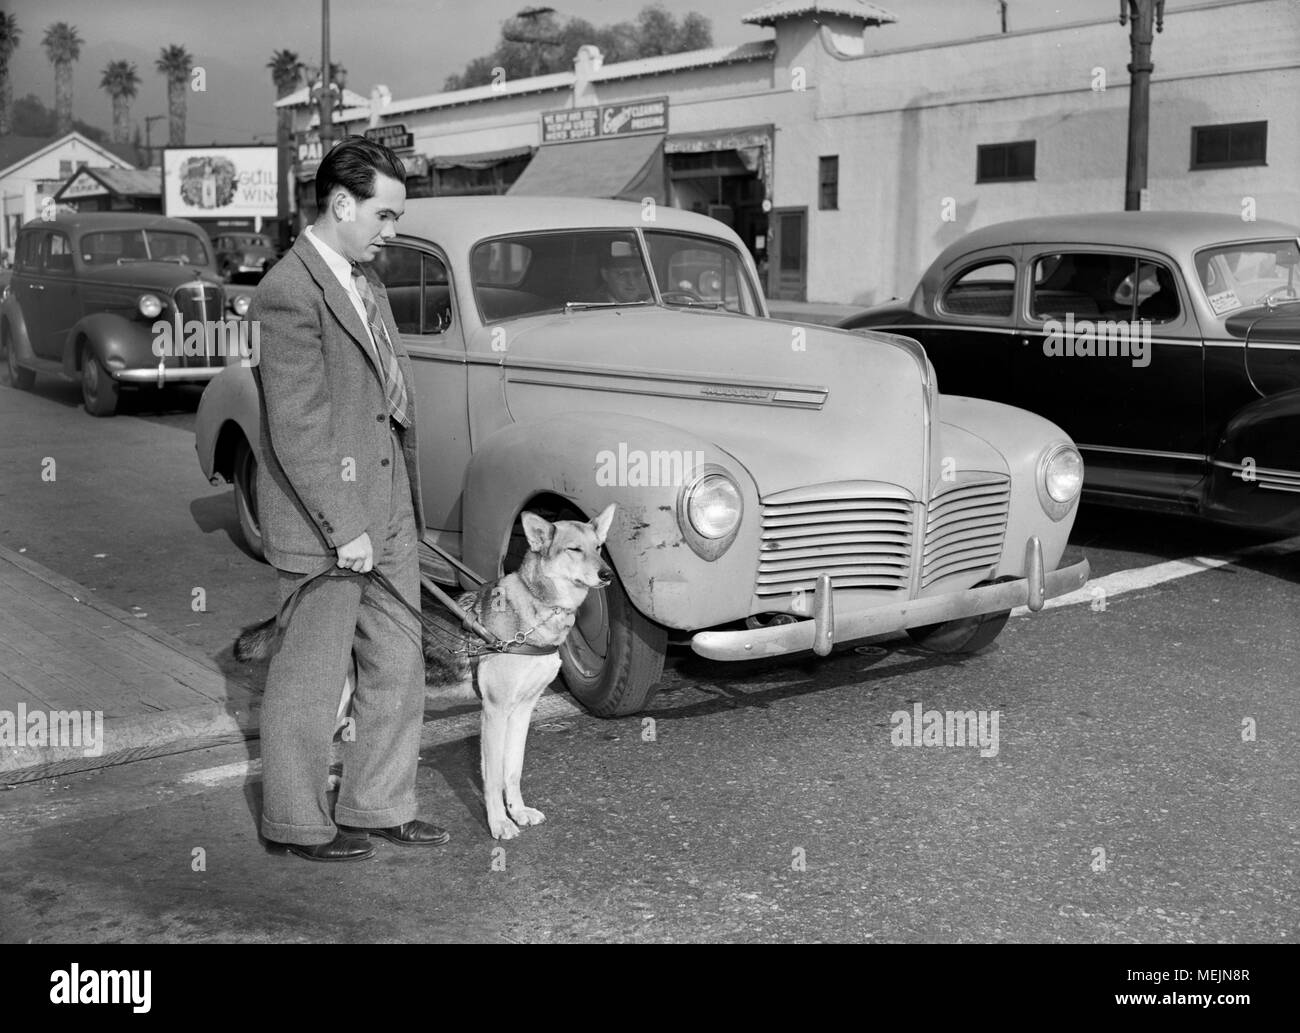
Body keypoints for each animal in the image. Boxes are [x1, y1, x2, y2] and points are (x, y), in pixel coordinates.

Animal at [236, 506, 616, 841]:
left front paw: (518, 812)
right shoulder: (494, 712)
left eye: (599, 548)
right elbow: (493, 778)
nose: (608, 575)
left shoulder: (522, 711)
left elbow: (513, 770)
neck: (534, 616)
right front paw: (499, 824)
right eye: (574, 550)